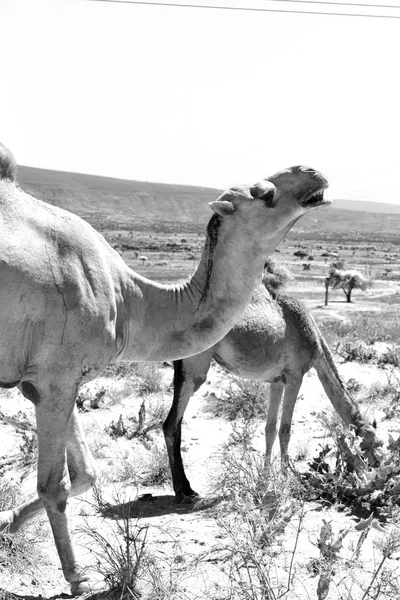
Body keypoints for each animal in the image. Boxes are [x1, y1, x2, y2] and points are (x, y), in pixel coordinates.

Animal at [0, 142, 330, 596]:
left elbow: (87, 473)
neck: (128, 301)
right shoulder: (56, 377)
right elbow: (55, 484)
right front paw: (78, 578)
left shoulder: (49, 382)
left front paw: (8, 522)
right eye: (264, 193)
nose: (313, 170)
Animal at [165, 264, 382, 504]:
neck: (314, 338)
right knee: (170, 424)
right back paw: (182, 492)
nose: (377, 465)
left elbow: (270, 428)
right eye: (372, 442)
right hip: (195, 367)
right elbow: (285, 430)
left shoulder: (277, 381)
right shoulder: (295, 375)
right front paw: (287, 480)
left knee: (176, 423)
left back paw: (188, 488)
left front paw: (264, 479)